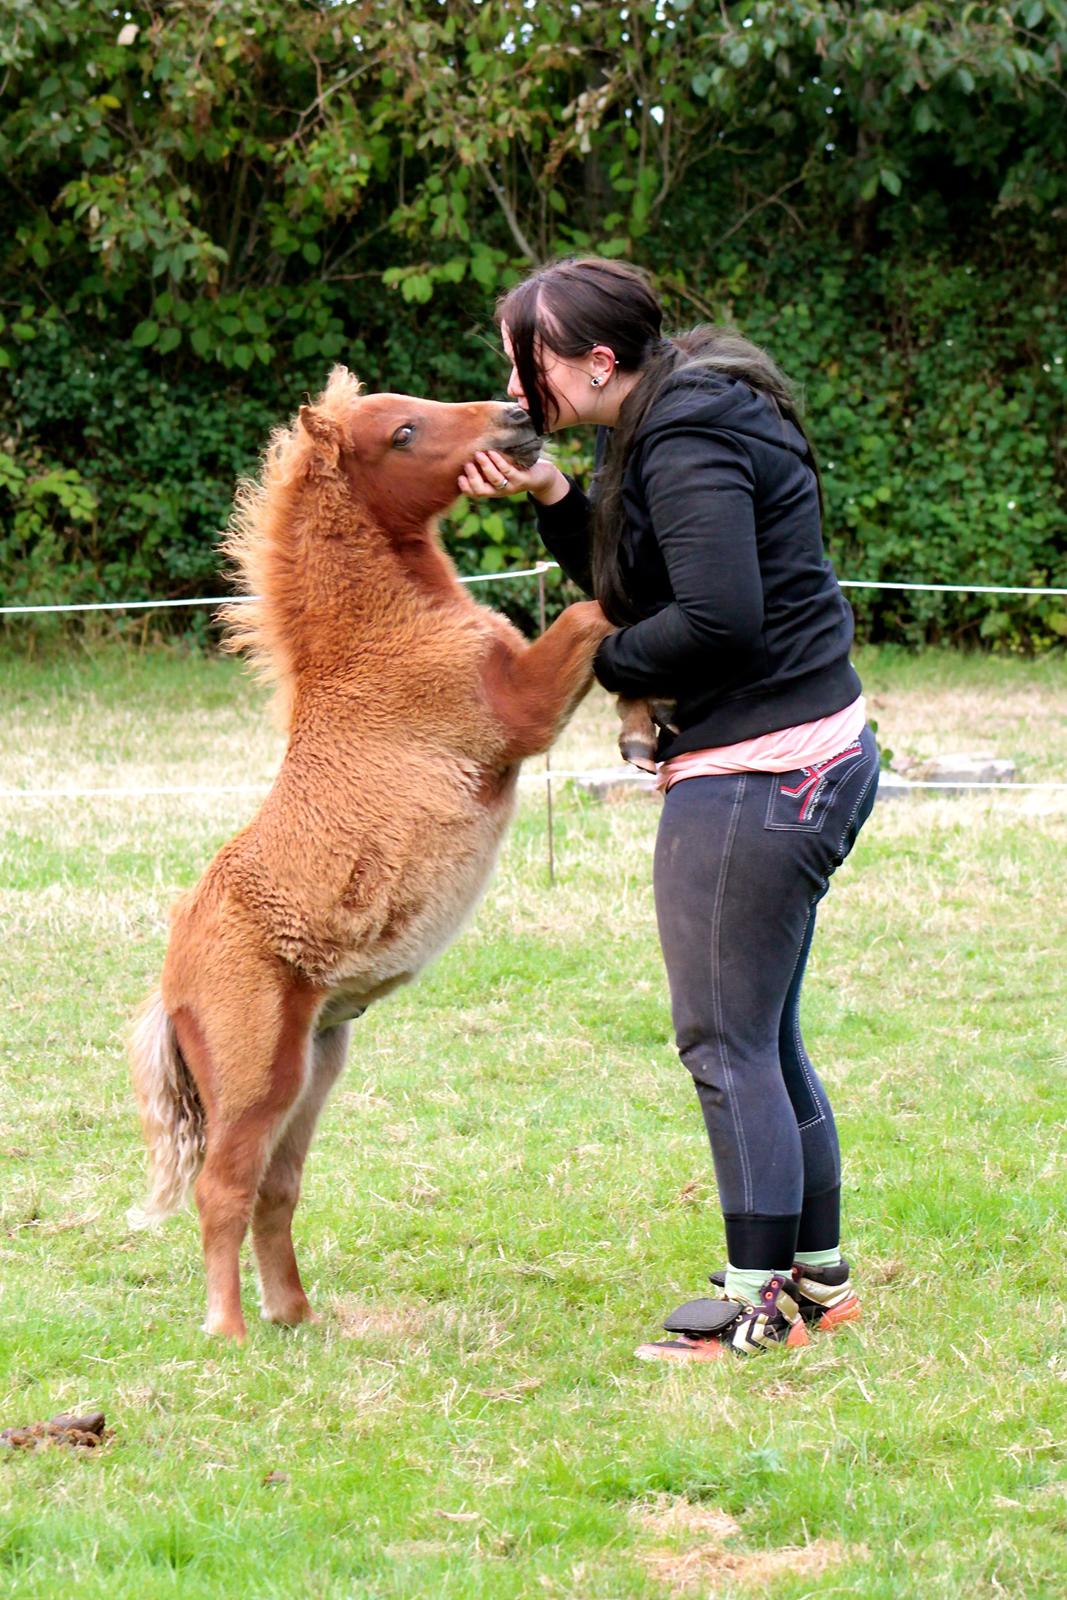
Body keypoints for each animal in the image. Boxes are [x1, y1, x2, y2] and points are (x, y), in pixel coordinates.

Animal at [126, 363, 614, 1337]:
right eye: (401, 433)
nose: (515, 417)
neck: (381, 640)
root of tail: (172, 983)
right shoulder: (520, 713)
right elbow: (592, 610)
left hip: (314, 1069)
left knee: (275, 1191)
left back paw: (294, 1317)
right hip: (256, 1078)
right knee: (223, 1190)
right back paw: (228, 1331)